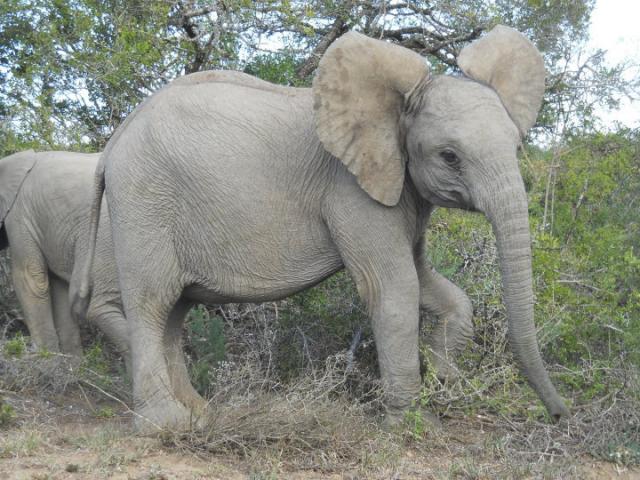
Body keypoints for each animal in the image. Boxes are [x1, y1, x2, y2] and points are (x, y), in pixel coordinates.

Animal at [77, 25, 569, 431]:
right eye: (450, 156)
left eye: (517, 146)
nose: (560, 415)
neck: (396, 107)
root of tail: (112, 145)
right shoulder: (350, 190)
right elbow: (395, 289)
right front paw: (412, 426)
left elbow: (432, 285)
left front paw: (444, 376)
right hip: (144, 201)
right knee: (152, 302)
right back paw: (167, 426)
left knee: (175, 311)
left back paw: (200, 414)